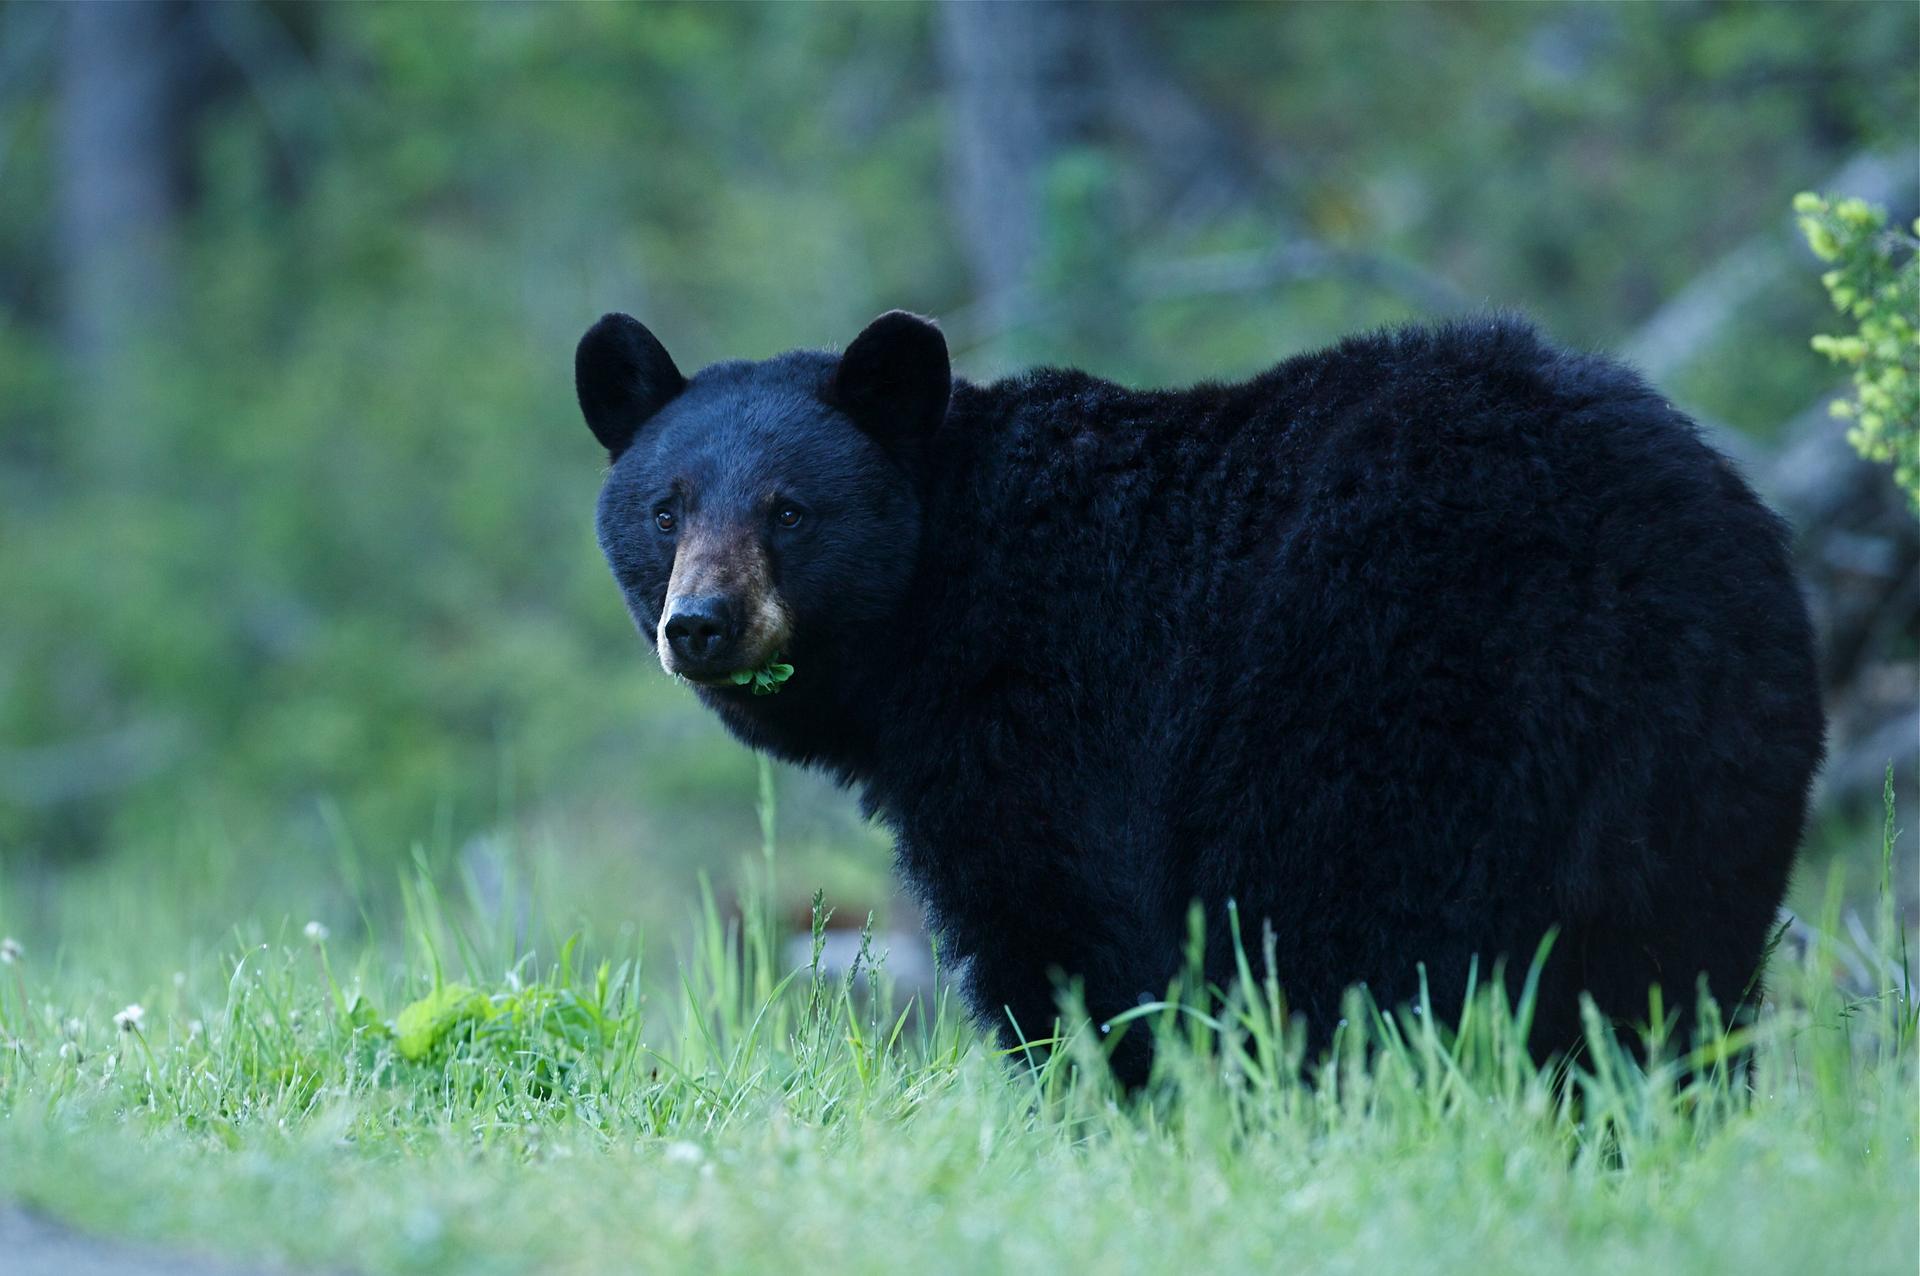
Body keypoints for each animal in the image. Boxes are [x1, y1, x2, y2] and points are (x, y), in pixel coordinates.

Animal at [568, 310, 1812, 1082]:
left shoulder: (1050, 723)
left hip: (1382, 714)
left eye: (790, 508)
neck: (944, 593)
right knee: (1665, 981)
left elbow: (1066, 936)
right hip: (1708, 776)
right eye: (667, 507)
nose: (702, 623)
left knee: (1355, 945)